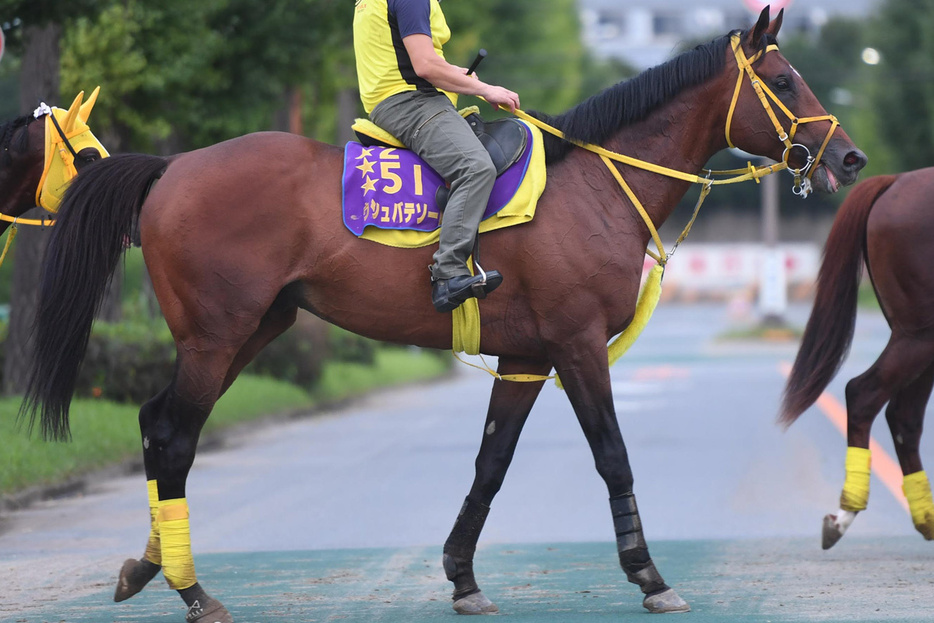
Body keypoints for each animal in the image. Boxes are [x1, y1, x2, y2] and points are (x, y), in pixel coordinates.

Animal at [11, 9, 868, 623]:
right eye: (786, 79)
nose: (850, 157)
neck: (593, 184)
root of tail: (172, 166)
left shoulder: (526, 357)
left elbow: (490, 463)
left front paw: (462, 576)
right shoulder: (578, 346)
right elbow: (614, 456)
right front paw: (650, 575)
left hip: (252, 331)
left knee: (160, 425)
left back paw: (148, 564)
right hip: (217, 334)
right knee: (173, 433)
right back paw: (192, 591)